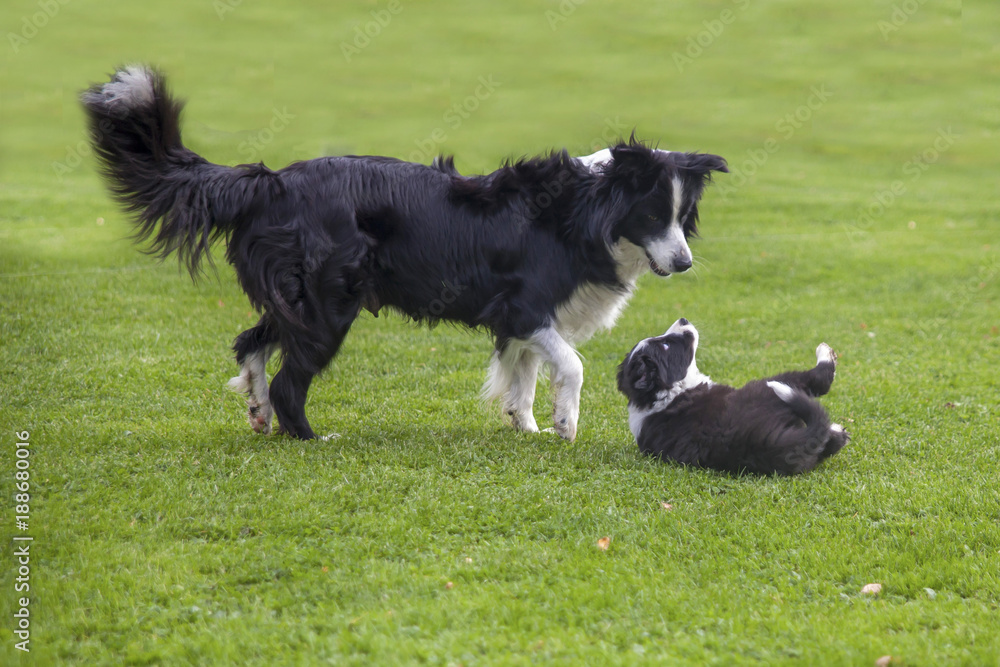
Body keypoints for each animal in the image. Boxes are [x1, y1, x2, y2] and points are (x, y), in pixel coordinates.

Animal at [82, 65, 728, 440]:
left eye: (683, 218)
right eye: (652, 215)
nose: (684, 264)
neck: (585, 211)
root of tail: (270, 182)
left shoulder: (519, 320)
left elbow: (521, 373)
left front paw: (525, 428)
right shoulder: (523, 307)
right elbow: (569, 363)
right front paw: (565, 424)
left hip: (300, 299)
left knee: (251, 342)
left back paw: (260, 414)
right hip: (329, 304)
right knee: (291, 376)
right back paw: (308, 435)